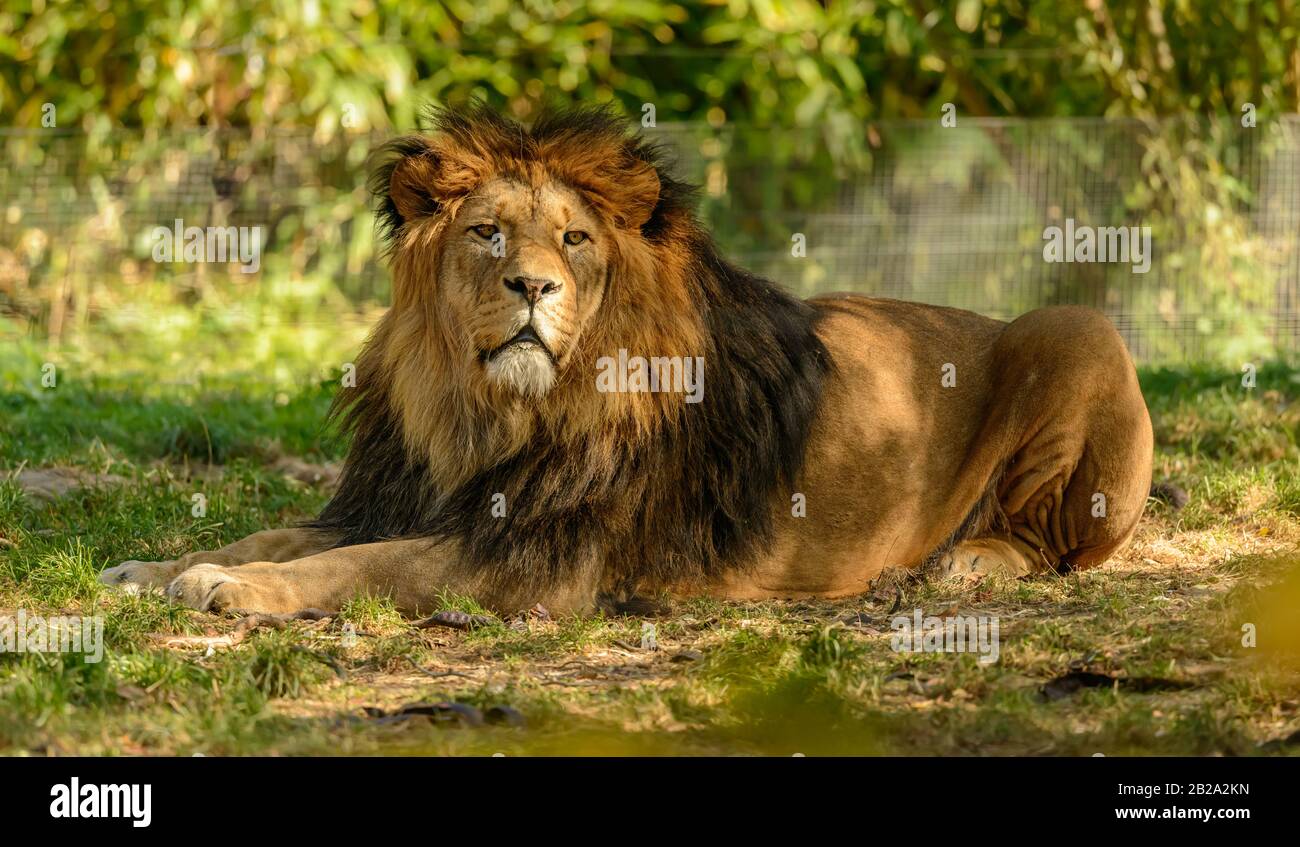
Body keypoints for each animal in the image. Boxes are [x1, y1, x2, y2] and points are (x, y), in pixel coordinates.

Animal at [100, 104, 1154, 616]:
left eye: (573, 239)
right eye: (486, 233)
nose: (533, 286)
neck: (481, 411)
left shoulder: (538, 561)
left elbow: (359, 569)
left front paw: (236, 591)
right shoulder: (397, 498)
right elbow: (279, 534)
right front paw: (160, 568)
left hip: (1076, 330)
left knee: (1055, 547)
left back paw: (961, 565)